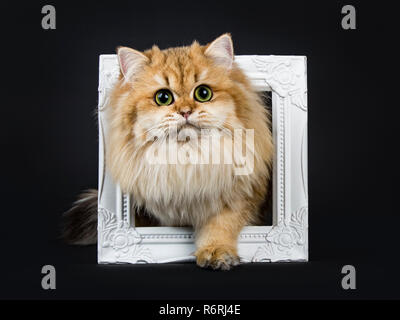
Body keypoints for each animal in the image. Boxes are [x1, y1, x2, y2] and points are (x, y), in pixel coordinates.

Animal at [63, 34, 276, 270]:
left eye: (203, 93)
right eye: (163, 98)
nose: (185, 111)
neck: (188, 158)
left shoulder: (237, 196)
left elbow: (220, 226)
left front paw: (216, 252)